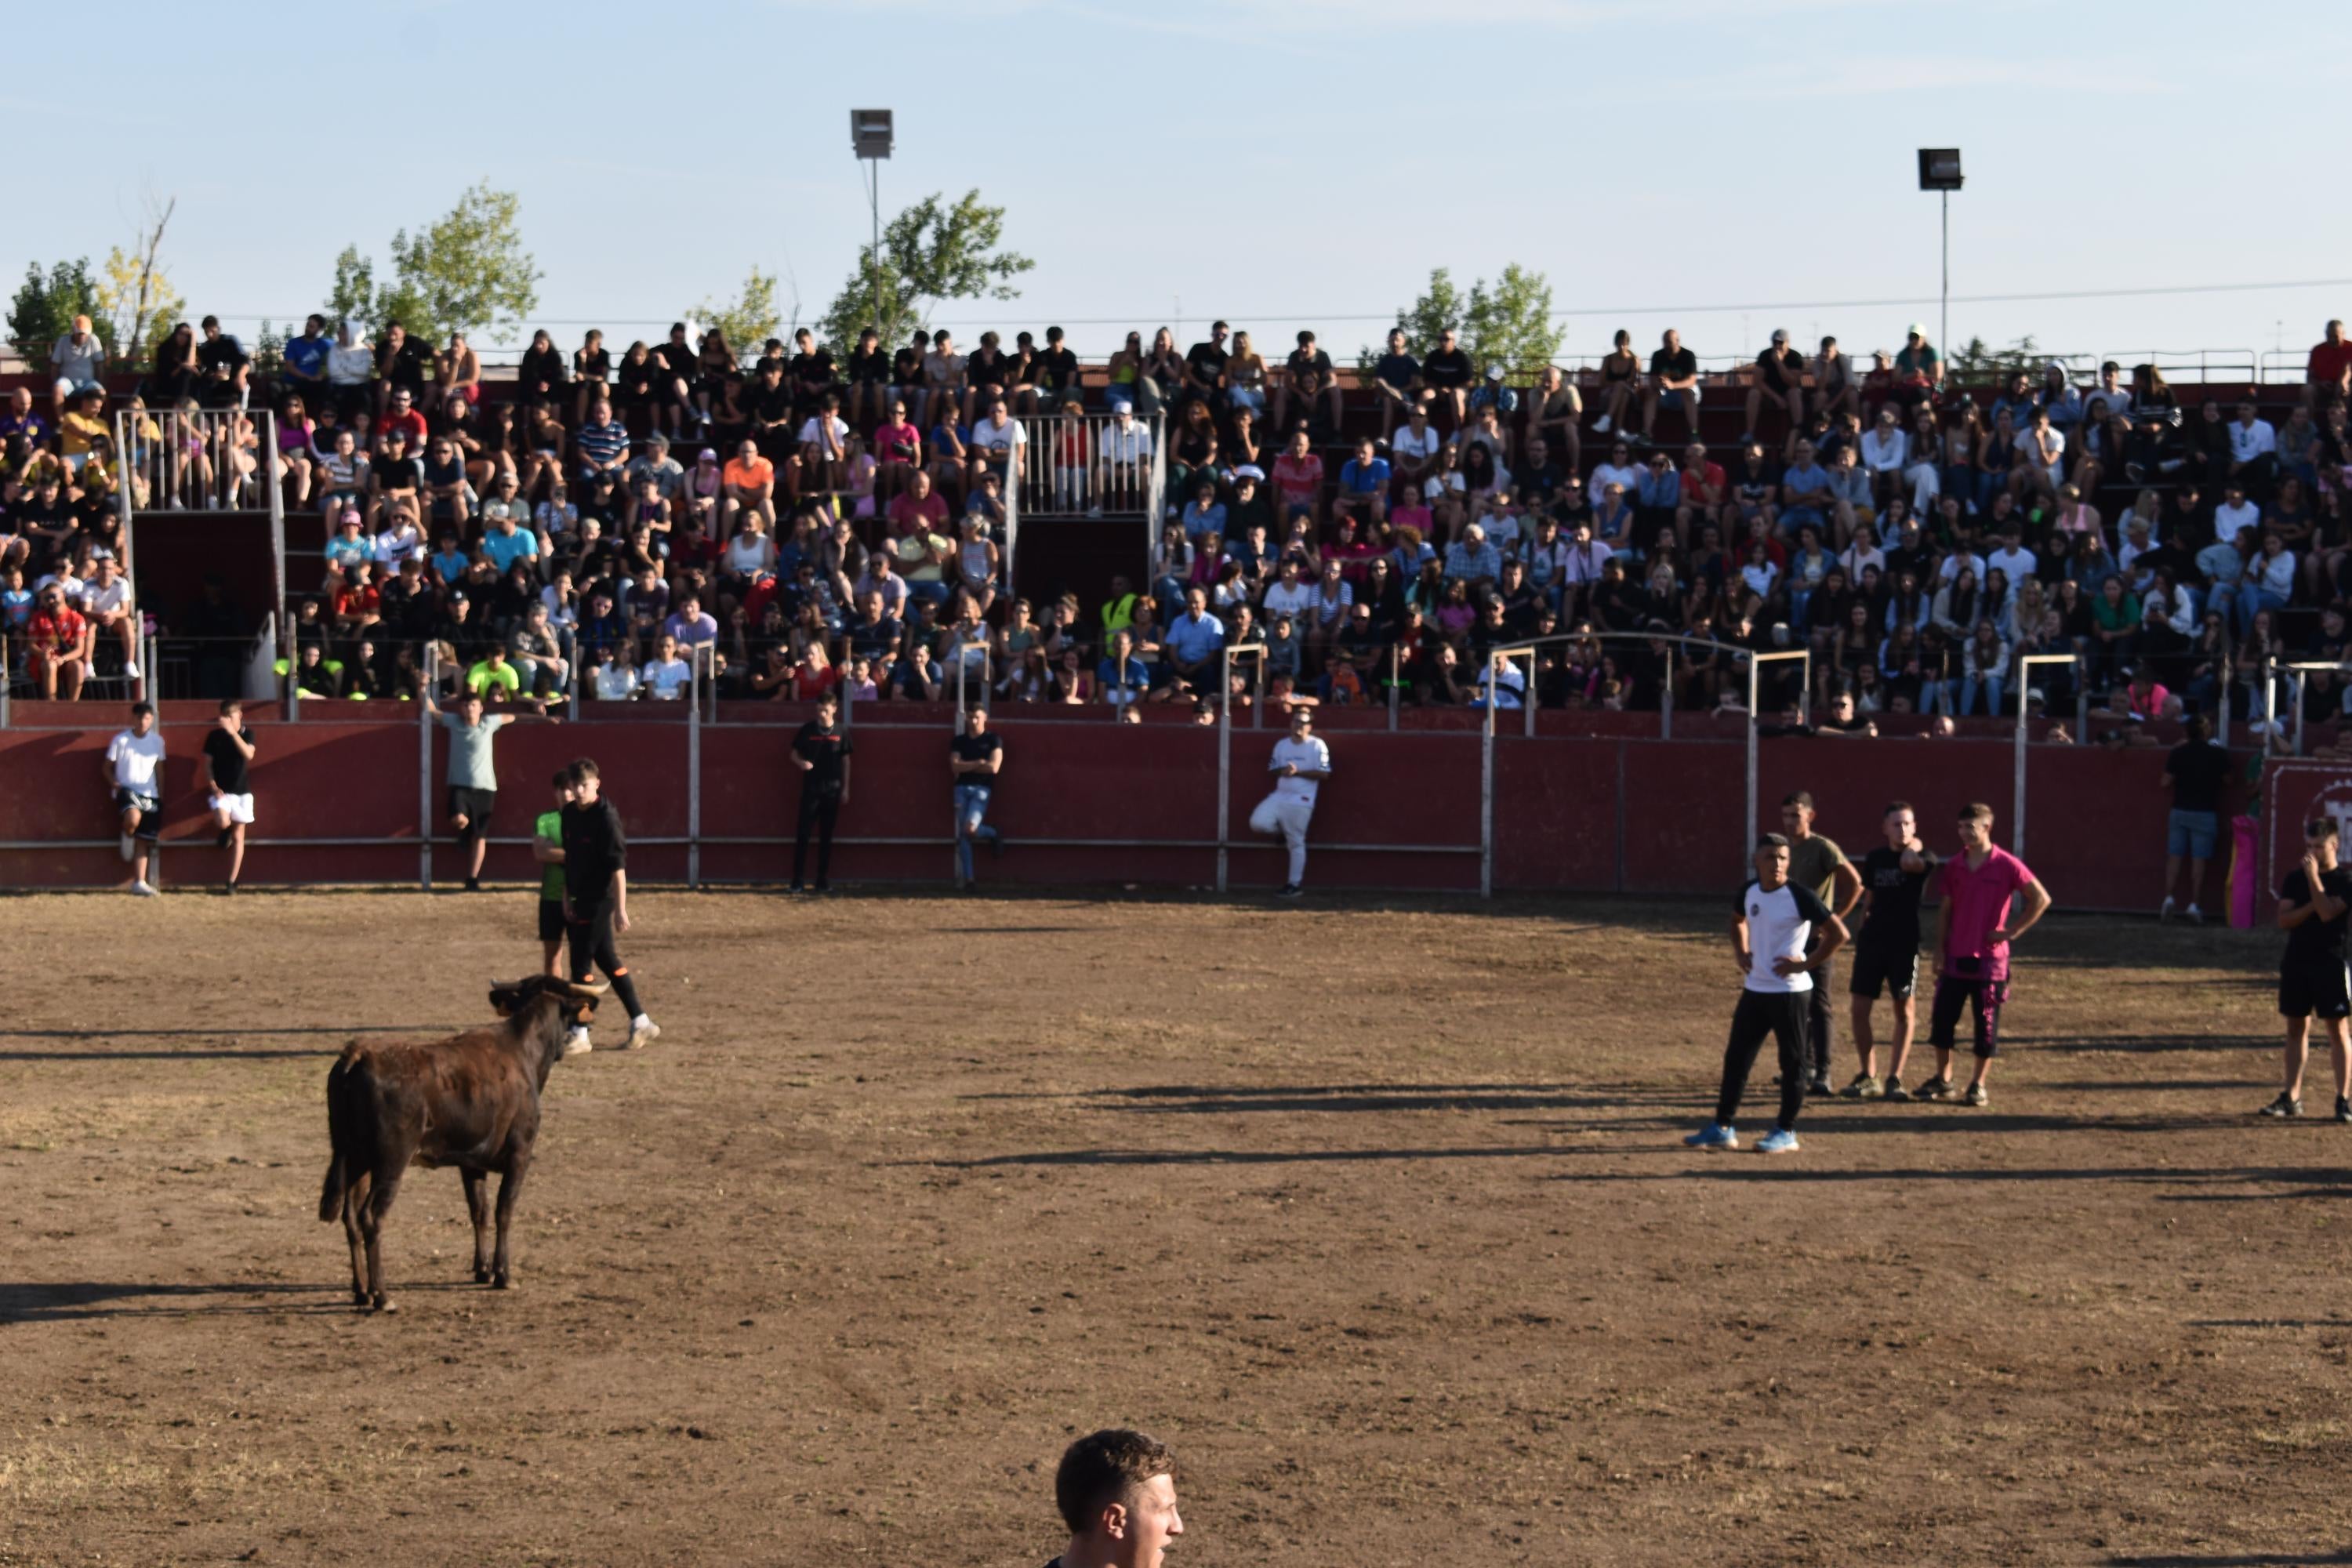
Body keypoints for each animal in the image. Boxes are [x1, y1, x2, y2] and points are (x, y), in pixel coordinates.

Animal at [318, 982, 612, 1316]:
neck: (522, 1051)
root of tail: (358, 1055)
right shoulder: (520, 1154)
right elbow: (503, 1210)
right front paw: (503, 1275)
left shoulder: (472, 1163)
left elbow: (479, 1211)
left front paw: (483, 1271)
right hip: (390, 1162)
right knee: (371, 1217)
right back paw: (382, 1295)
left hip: (354, 1158)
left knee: (351, 1218)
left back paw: (361, 1292)